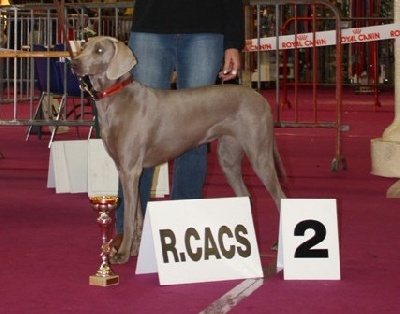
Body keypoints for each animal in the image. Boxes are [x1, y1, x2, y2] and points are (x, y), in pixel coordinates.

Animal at [71, 35, 284, 264]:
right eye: (84, 46)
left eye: (100, 50)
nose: (74, 63)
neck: (117, 96)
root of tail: (261, 98)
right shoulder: (127, 170)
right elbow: (137, 214)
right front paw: (135, 249)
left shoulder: (130, 170)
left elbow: (129, 217)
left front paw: (122, 254)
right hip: (228, 157)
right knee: (246, 194)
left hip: (260, 155)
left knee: (281, 197)